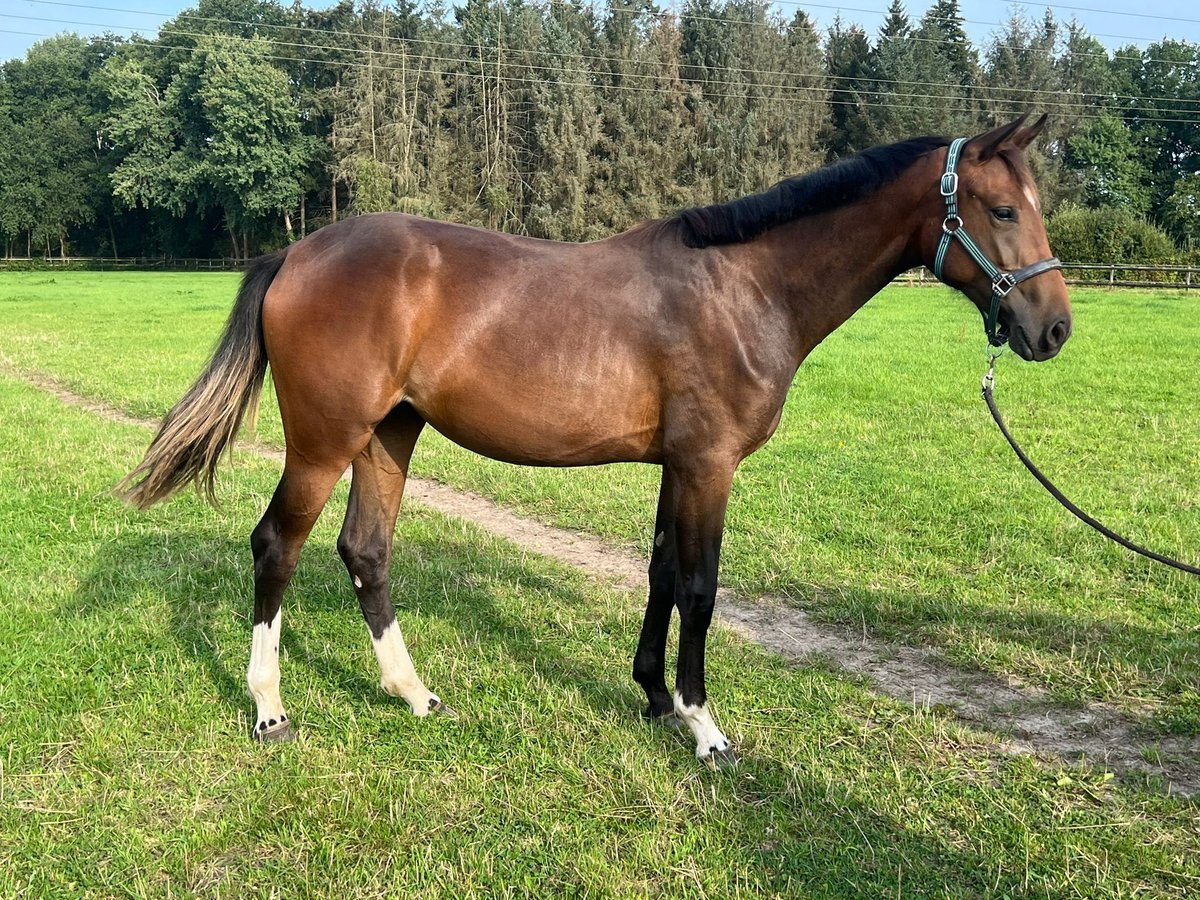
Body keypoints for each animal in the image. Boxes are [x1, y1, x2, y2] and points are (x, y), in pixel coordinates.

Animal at [119, 116, 1070, 772]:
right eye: (1001, 208)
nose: (1053, 329)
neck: (745, 286)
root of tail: (297, 253)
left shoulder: (677, 466)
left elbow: (660, 574)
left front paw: (651, 695)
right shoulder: (709, 467)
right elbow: (701, 588)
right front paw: (702, 724)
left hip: (389, 433)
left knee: (365, 550)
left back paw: (414, 694)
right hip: (325, 441)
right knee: (277, 546)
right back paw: (270, 710)